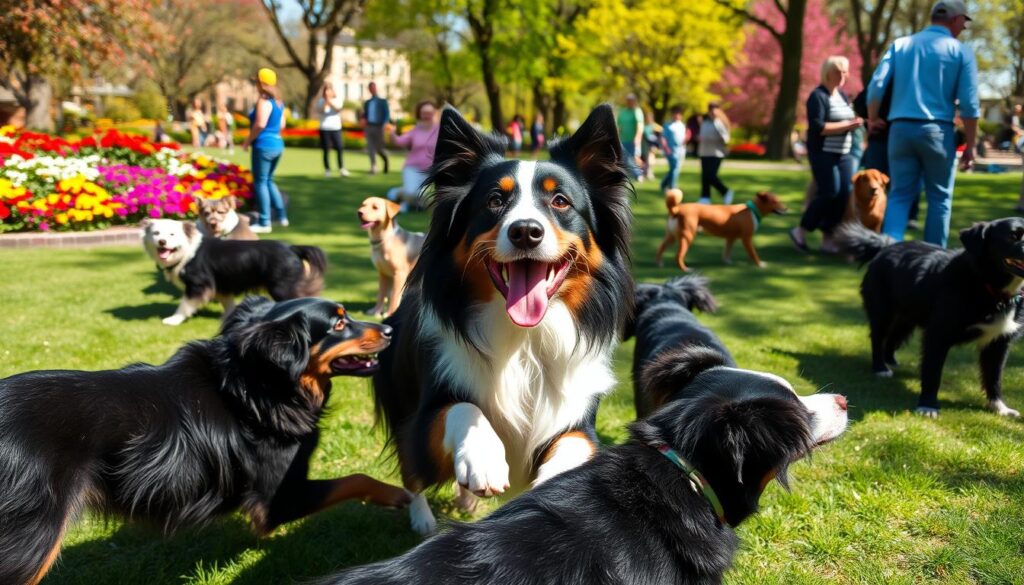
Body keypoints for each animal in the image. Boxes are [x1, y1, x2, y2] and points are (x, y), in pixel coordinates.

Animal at [655, 194, 790, 272]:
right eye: (776, 201)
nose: (786, 208)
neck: (752, 210)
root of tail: (676, 210)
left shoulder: (730, 238)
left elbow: (726, 252)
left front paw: (727, 262)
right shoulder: (746, 239)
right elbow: (753, 254)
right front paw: (760, 264)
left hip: (671, 236)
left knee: (660, 249)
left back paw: (659, 264)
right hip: (687, 237)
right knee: (678, 256)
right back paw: (686, 269)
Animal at [835, 218, 1024, 415]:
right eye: (1013, 236)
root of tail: (887, 246)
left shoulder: (998, 342)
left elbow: (994, 376)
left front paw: (1000, 407)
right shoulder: (938, 333)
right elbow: (933, 371)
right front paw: (928, 405)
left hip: (906, 318)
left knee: (893, 337)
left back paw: (890, 361)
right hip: (883, 311)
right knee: (878, 337)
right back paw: (880, 367)